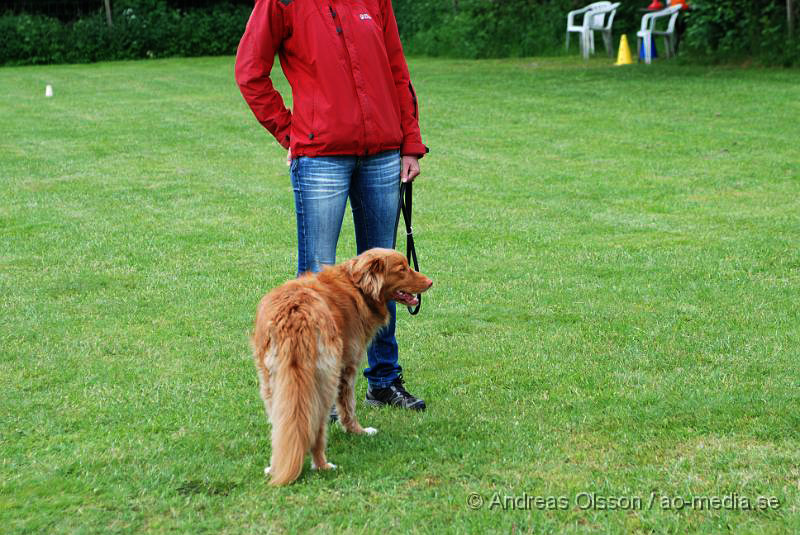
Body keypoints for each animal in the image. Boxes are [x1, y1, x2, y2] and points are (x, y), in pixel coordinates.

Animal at [253, 247, 434, 486]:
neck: (357, 288)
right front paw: (357, 431)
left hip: (272, 384)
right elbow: (348, 407)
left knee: (282, 426)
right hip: (323, 381)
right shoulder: (348, 366)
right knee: (316, 428)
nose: (430, 282)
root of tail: (295, 315)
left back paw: (275, 467)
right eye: (402, 269)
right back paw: (322, 465)